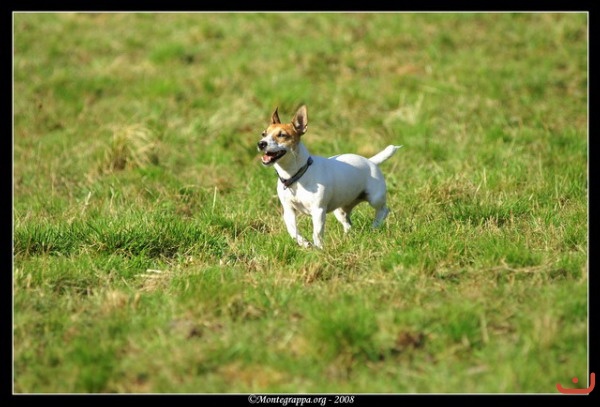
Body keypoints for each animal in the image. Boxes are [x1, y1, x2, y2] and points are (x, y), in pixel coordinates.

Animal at [257, 105, 402, 249]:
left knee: (383, 210)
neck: (296, 176)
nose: (261, 143)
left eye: (282, 135)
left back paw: (375, 226)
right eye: (263, 134)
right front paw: (304, 243)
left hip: (374, 198)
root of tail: (371, 161)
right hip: (340, 209)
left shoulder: (318, 210)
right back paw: (348, 237)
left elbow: (317, 233)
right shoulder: (289, 211)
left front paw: (319, 248)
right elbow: (293, 231)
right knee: (348, 223)